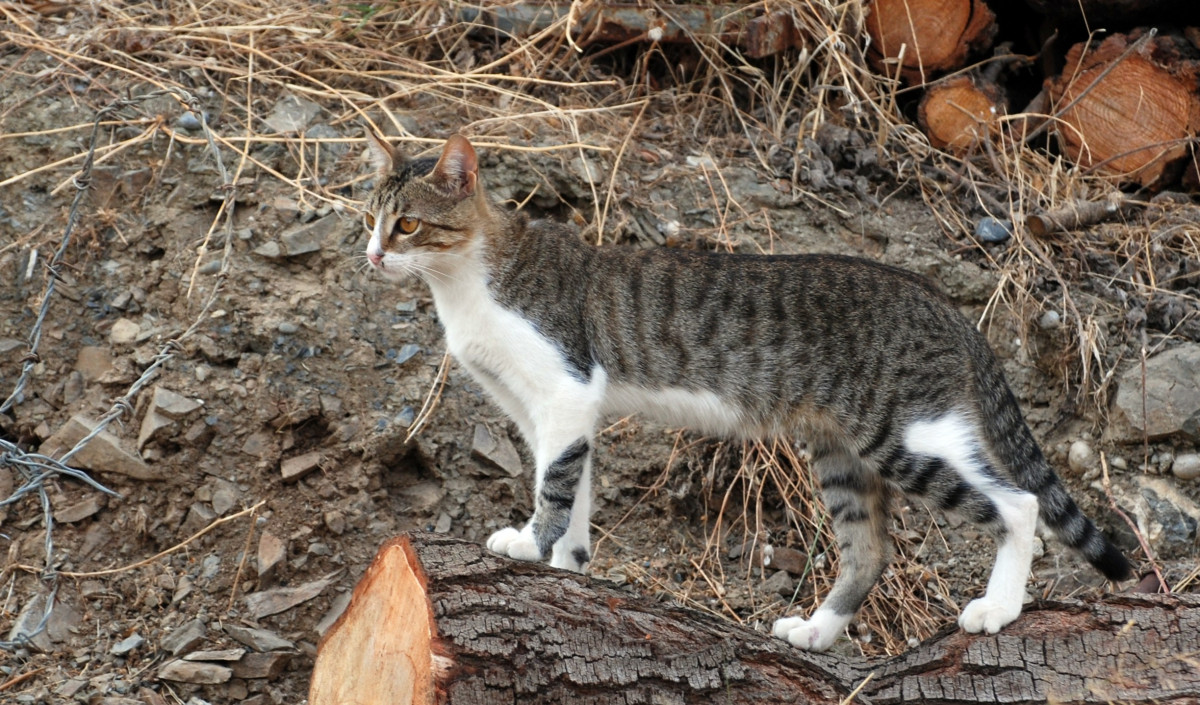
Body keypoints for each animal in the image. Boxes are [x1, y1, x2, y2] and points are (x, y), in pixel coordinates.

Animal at [360, 130, 1128, 652]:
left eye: (408, 224)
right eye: (369, 216)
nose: (370, 255)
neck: (468, 280)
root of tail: (943, 301)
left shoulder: (564, 393)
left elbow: (552, 487)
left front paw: (525, 545)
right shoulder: (551, 413)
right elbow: (572, 495)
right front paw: (567, 569)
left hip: (907, 433)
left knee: (1020, 502)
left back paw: (998, 609)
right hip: (843, 453)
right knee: (870, 549)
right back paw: (816, 630)